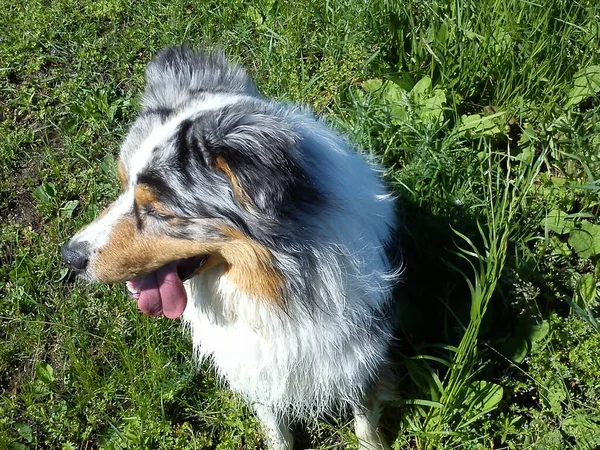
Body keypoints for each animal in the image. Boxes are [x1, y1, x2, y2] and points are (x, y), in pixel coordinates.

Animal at [62, 46, 398, 450]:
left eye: (159, 210)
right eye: (123, 184)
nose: (70, 256)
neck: (271, 288)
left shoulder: (361, 356)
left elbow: (364, 421)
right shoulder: (254, 367)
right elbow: (274, 425)